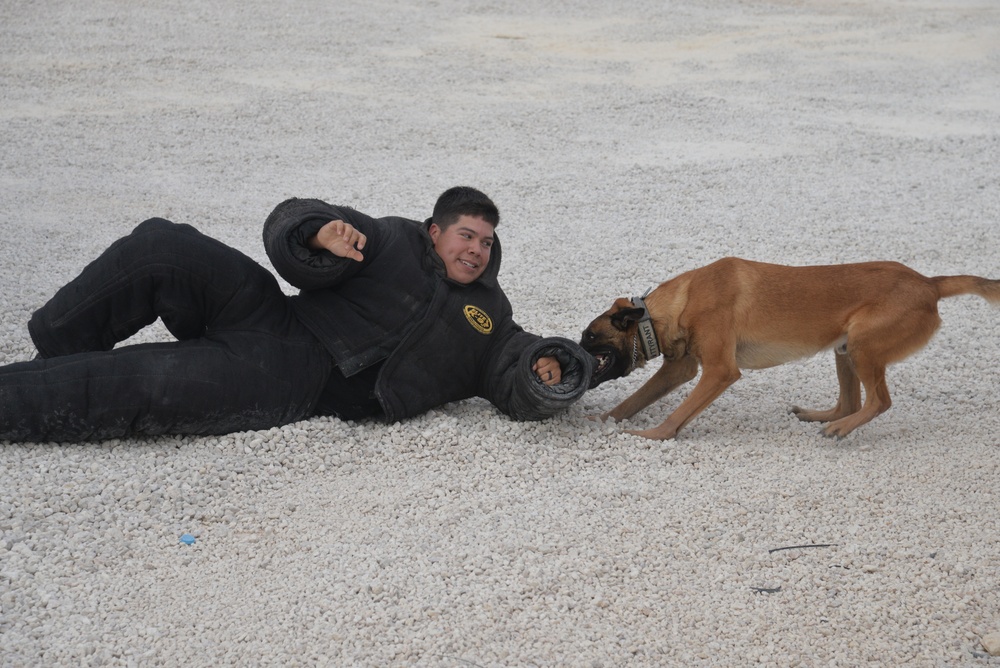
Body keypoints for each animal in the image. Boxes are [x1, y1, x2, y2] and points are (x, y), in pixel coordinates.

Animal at [580, 258, 1000, 440]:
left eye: (589, 338)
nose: (575, 354)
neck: (677, 302)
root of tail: (929, 283)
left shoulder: (719, 371)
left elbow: (676, 414)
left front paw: (653, 436)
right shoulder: (679, 369)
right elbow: (633, 400)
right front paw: (604, 420)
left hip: (862, 346)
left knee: (878, 401)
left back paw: (840, 428)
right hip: (845, 349)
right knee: (851, 401)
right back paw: (823, 416)